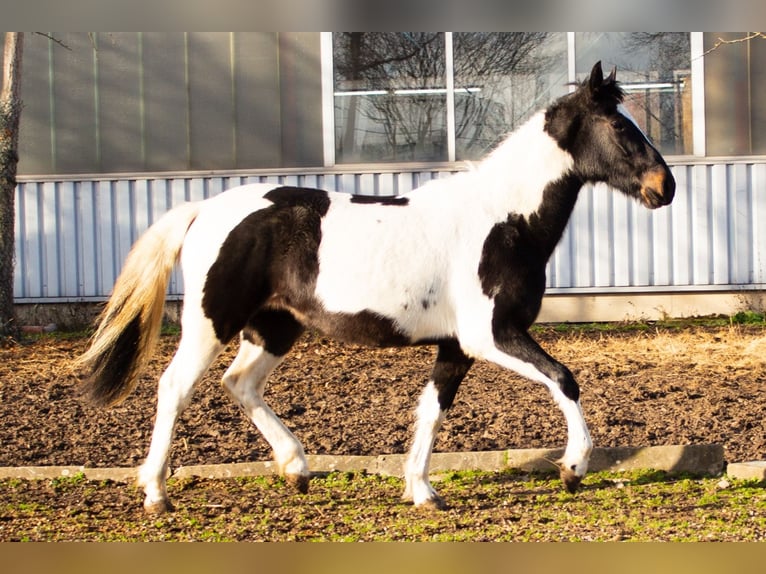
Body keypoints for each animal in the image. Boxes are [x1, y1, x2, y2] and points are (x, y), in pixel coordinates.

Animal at [78, 63, 676, 512]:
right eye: (621, 127)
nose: (664, 187)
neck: (504, 220)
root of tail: (203, 209)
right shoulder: (491, 335)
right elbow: (564, 379)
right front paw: (573, 467)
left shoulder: (457, 347)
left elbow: (432, 410)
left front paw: (421, 490)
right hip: (212, 321)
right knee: (174, 387)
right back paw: (156, 493)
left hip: (274, 327)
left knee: (240, 383)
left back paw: (297, 468)